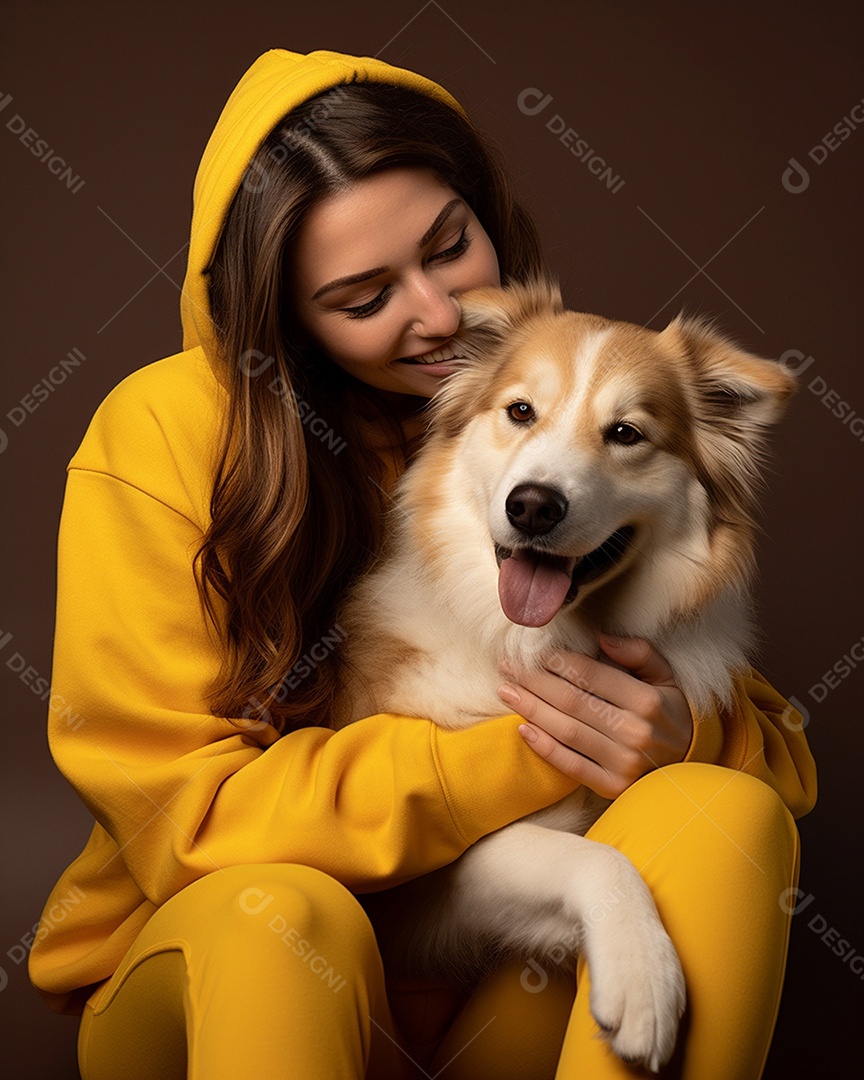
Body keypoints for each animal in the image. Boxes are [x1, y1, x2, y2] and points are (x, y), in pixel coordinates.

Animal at [330, 278, 794, 1071]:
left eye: (626, 434)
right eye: (521, 411)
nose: (533, 506)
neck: (540, 641)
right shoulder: (428, 888)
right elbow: (596, 857)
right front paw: (643, 976)